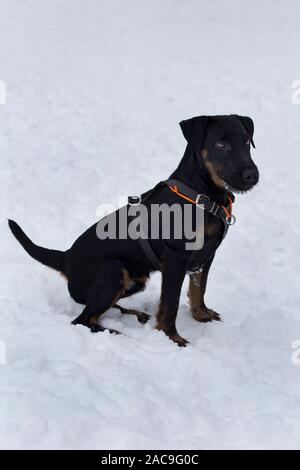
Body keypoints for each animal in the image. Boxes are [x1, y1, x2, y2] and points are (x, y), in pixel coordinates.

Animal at [9, 115, 258, 346]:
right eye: (220, 144)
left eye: (247, 141)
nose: (252, 175)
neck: (203, 194)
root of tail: (66, 257)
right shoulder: (175, 260)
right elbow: (170, 303)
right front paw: (172, 338)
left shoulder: (206, 256)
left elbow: (199, 289)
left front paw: (201, 315)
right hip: (112, 274)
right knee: (82, 320)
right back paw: (117, 333)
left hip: (135, 280)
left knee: (99, 309)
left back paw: (135, 315)